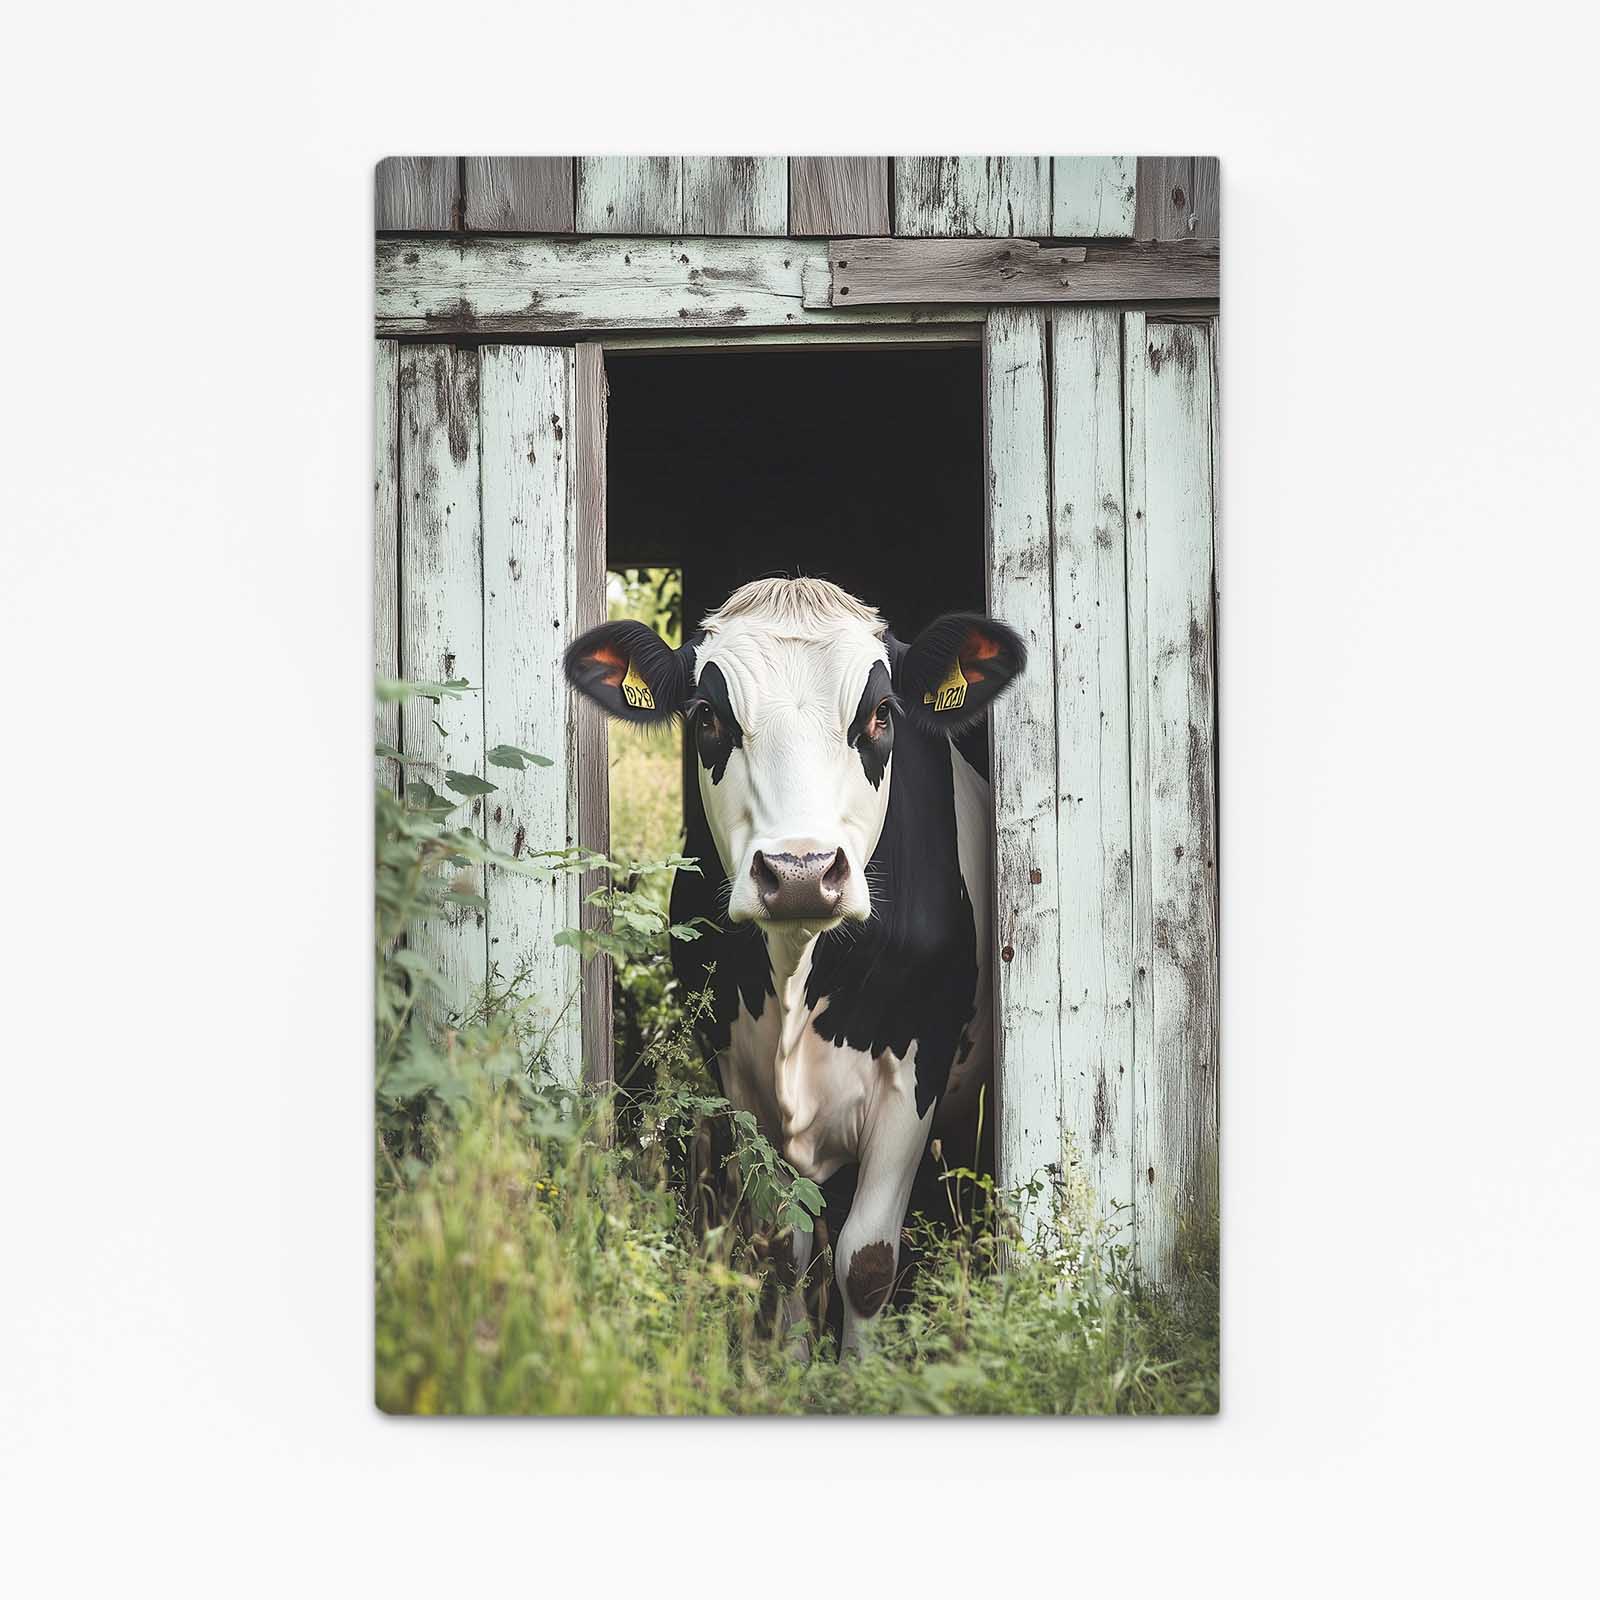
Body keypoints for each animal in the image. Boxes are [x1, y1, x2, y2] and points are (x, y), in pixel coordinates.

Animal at [565, 576, 1025, 1354]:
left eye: (879, 713)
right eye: (709, 715)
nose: (801, 873)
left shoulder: (918, 1071)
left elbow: (868, 1260)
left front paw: (860, 1370)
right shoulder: (738, 1075)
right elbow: (782, 1244)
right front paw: (788, 1361)